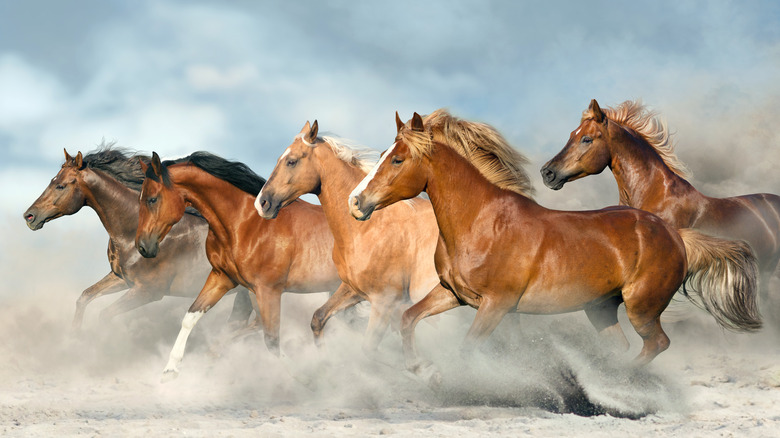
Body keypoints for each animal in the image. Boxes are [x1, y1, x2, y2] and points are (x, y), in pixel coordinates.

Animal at [22, 147, 253, 328]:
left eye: (60, 185)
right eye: (52, 181)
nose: (29, 216)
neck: (131, 233)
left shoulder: (147, 292)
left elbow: (104, 315)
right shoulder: (122, 279)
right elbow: (85, 297)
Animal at [136, 151, 342, 380]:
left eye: (152, 199)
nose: (143, 247)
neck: (245, 225)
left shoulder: (267, 290)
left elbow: (271, 339)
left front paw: (304, 376)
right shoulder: (223, 278)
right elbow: (191, 316)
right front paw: (170, 369)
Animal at [254, 121, 438, 354]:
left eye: (291, 161)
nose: (261, 203)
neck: (368, 228)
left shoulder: (384, 301)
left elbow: (368, 348)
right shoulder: (354, 289)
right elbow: (318, 318)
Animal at [350, 110, 760, 384]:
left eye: (397, 159)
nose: (356, 202)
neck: (481, 221)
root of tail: (677, 235)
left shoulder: (497, 305)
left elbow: (467, 349)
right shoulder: (454, 294)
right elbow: (407, 319)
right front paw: (422, 369)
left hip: (642, 308)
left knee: (655, 344)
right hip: (600, 309)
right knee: (623, 347)